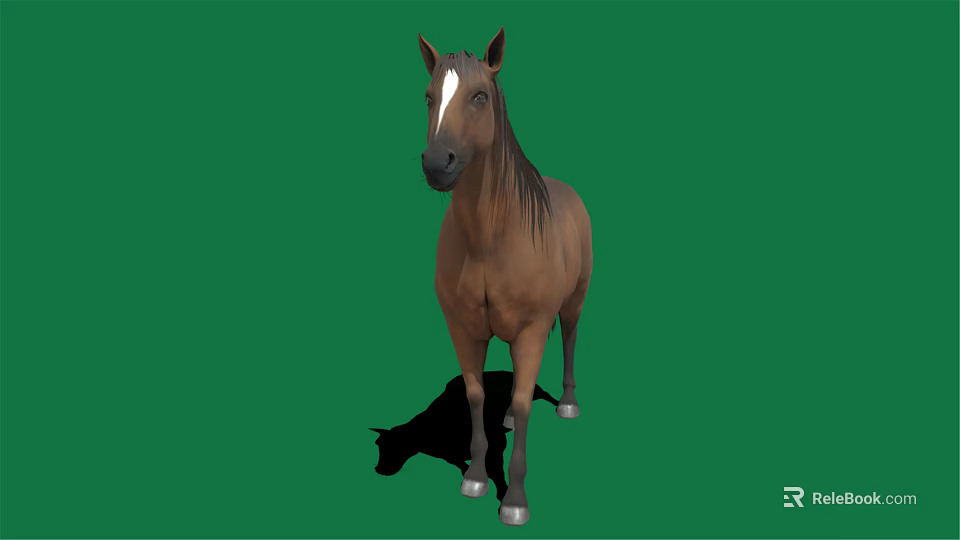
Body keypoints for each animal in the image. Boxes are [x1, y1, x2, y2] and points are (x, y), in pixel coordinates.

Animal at [417, 28, 593, 526]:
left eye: (479, 96)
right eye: (429, 97)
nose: (436, 164)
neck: (488, 238)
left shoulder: (533, 329)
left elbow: (522, 398)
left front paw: (514, 501)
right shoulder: (463, 330)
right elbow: (478, 396)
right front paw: (475, 478)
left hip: (572, 304)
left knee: (569, 339)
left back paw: (568, 405)